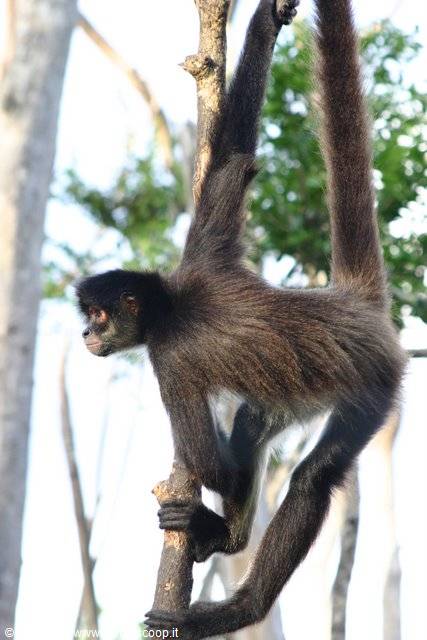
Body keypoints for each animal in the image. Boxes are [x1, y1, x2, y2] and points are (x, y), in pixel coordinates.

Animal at [76, 0, 406, 637]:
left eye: (100, 315)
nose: (84, 333)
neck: (172, 301)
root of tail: (353, 304)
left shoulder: (169, 357)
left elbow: (211, 466)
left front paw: (198, 497)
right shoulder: (203, 253)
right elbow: (236, 162)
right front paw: (266, 20)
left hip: (376, 382)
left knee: (313, 478)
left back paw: (239, 605)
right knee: (254, 422)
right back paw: (229, 538)